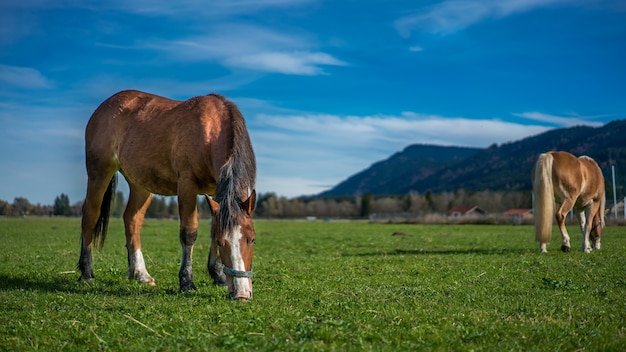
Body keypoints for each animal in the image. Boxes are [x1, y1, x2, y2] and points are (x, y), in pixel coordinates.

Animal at [79, 89, 258, 298]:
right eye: (222, 243)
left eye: (252, 239)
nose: (242, 294)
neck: (210, 131)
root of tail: (103, 107)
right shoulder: (187, 185)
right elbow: (189, 233)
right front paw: (187, 281)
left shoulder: (217, 191)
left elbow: (215, 226)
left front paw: (218, 275)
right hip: (99, 172)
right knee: (90, 216)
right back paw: (87, 272)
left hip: (140, 184)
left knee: (132, 220)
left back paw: (140, 274)